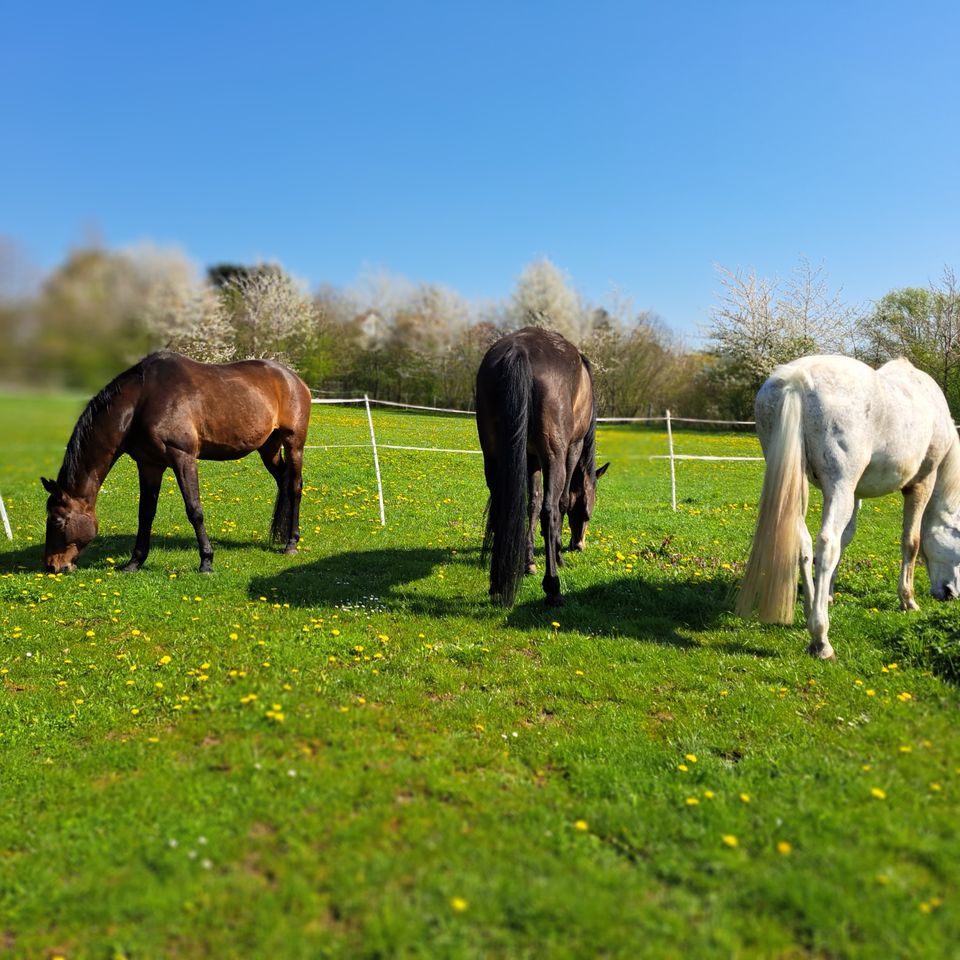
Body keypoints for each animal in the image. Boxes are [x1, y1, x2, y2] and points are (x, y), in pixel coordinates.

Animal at [42, 354, 312, 572]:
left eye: (56, 520)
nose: (52, 566)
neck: (141, 401)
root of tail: (294, 379)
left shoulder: (183, 457)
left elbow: (194, 510)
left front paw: (206, 561)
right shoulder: (149, 465)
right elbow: (145, 513)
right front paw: (134, 562)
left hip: (294, 443)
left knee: (295, 487)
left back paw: (291, 543)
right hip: (268, 448)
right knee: (283, 481)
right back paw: (281, 536)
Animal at [476, 326, 612, 604]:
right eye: (586, 512)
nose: (578, 545)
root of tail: (518, 351)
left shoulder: (530, 459)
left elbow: (532, 504)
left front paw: (528, 562)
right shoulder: (571, 449)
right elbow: (559, 503)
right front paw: (557, 555)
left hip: (494, 456)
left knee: (502, 506)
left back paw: (497, 583)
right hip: (554, 456)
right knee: (550, 508)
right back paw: (553, 587)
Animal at [736, 352, 960, 660]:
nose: (950, 594)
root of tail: (797, 380)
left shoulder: (855, 494)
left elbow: (846, 539)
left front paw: (828, 594)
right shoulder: (920, 484)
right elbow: (911, 542)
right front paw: (908, 600)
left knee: (805, 544)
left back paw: (811, 610)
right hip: (838, 485)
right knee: (826, 544)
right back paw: (820, 639)